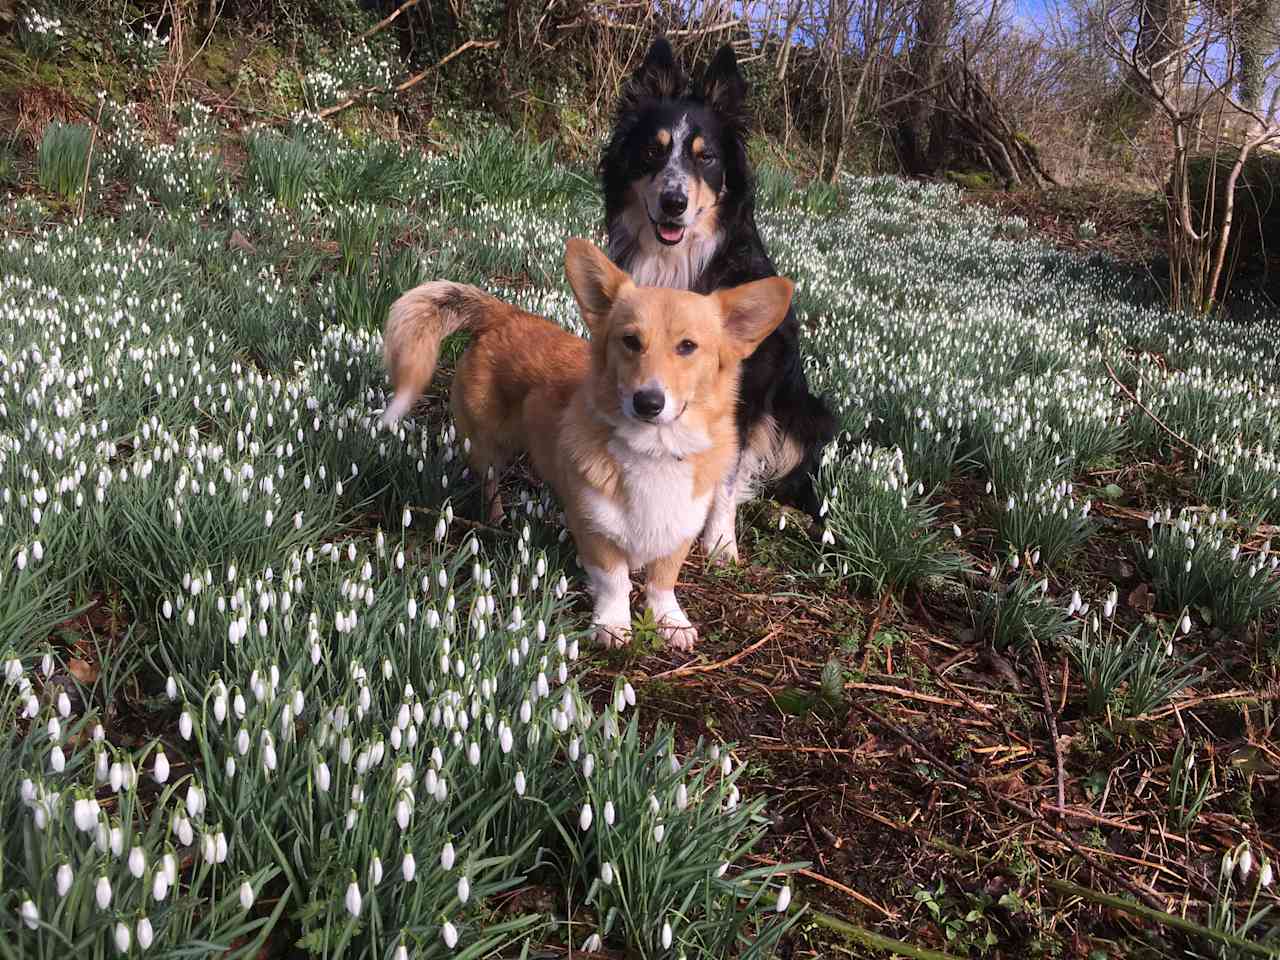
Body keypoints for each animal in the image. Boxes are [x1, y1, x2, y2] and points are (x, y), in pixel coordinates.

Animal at [599, 37, 839, 563]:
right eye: (653, 150)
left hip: (808, 413)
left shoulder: (747, 387)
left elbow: (728, 475)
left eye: (705, 157)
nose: (674, 202)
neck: (680, 262)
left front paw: (721, 542)